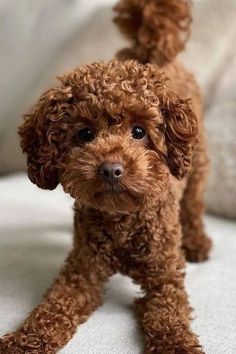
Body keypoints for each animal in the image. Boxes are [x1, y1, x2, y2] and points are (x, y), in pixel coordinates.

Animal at [0, 0, 212, 354]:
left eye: (139, 131)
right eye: (85, 134)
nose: (111, 169)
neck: (122, 219)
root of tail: (148, 52)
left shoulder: (164, 278)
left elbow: (169, 315)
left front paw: (177, 345)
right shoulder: (81, 274)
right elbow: (51, 309)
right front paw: (23, 341)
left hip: (197, 164)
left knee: (194, 204)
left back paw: (196, 241)